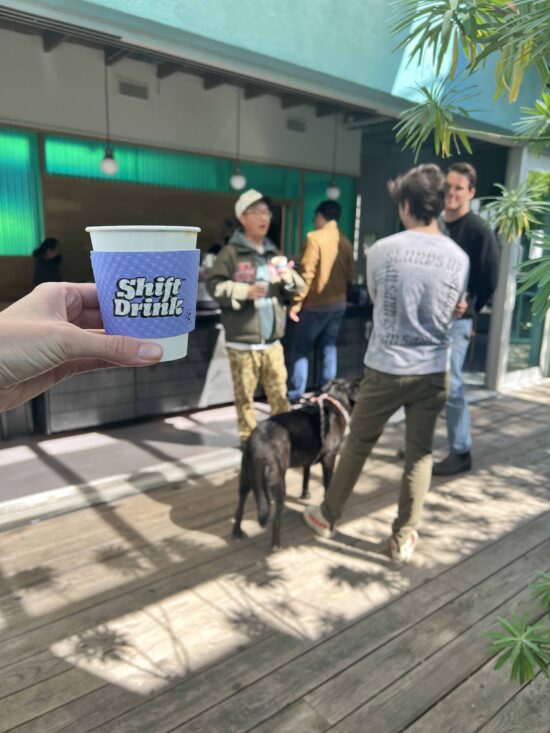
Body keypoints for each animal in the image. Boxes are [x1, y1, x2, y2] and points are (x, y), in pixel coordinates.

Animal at [233, 378, 362, 548]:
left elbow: (306, 475)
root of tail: (257, 441)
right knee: (276, 517)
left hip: (246, 477)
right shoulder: (329, 459)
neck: (334, 400)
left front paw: (305, 494)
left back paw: (237, 532)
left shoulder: (308, 456)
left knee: (240, 504)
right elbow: (328, 485)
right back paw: (276, 545)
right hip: (278, 481)